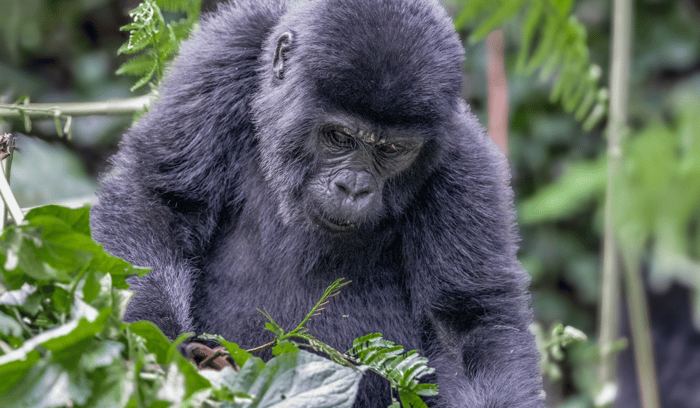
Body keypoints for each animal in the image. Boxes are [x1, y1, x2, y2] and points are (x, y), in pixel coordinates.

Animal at [90, 0, 544, 404]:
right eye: (340, 137)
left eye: (392, 149)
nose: (353, 188)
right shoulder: (226, 52)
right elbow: (160, 200)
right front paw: (161, 346)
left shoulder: (464, 162)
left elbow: (466, 325)